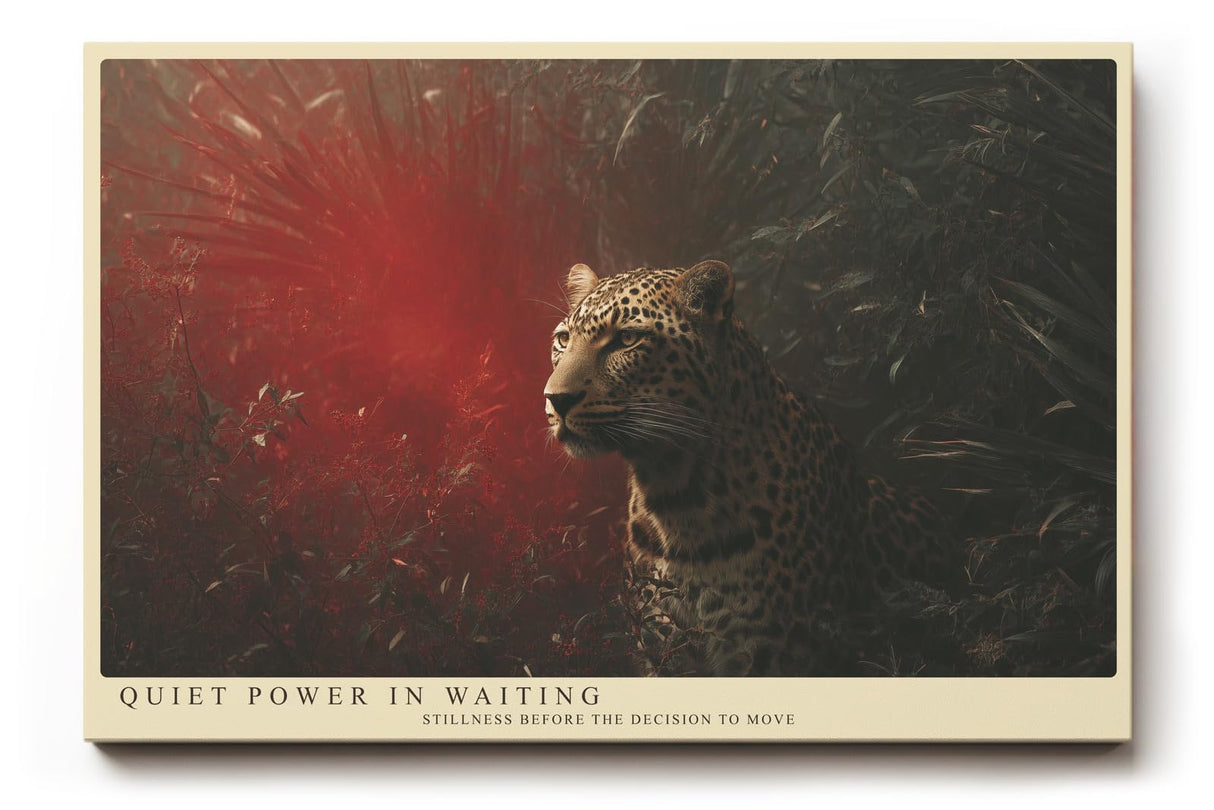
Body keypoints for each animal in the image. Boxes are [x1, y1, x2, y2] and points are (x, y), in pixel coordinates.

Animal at [543, 259, 957, 676]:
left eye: (627, 339)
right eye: (563, 339)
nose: (556, 399)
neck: (672, 493)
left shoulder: (771, 653)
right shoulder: (664, 651)